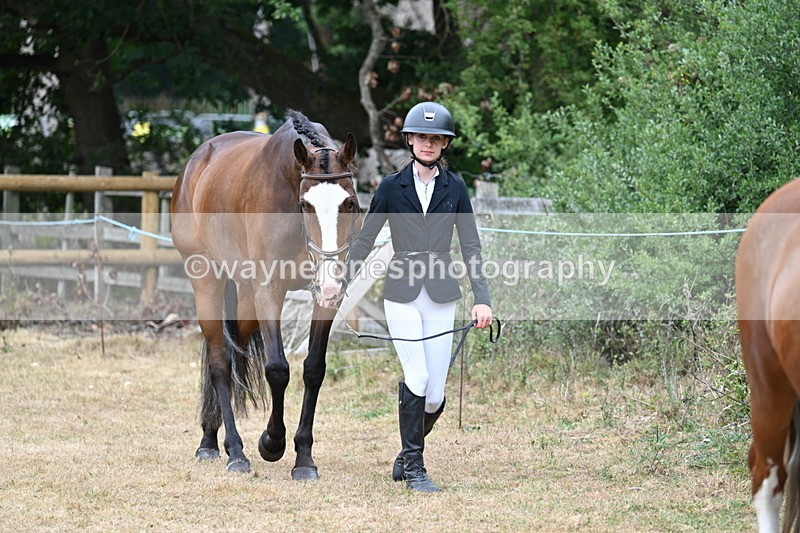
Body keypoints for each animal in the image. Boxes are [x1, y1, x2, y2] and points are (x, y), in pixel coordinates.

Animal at [170, 110, 360, 479]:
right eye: (305, 204)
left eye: (350, 203)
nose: (331, 279)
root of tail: (195, 163)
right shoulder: (269, 292)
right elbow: (277, 369)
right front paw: (272, 442)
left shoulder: (325, 300)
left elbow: (314, 369)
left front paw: (304, 458)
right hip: (208, 283)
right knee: (219, 364)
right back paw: (235, 451)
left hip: (246, 300)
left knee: (233, 354)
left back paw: (212, 438)